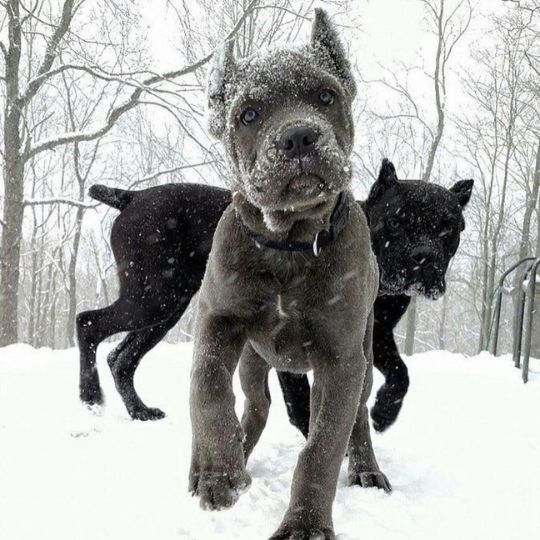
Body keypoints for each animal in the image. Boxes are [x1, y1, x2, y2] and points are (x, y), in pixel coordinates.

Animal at [78, 159, 470, 430]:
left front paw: (385, 411)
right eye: (397, 220)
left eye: (449, 228)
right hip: (150, 299)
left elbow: (401, 372)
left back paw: (139, 411)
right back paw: (90, 394)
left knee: (121, 358)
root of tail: (131, 197)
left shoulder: (376, 333)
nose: (424, 256)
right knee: (88, 323)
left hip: (164, 309)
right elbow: (300, 400)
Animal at [188, 9, 386, 540]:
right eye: (248, 115)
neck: (290, 244)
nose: (299, 135)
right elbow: (206, 387)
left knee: (356, 418)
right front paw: (219, 472)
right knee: (251, 408)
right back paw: (225, 464)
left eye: (326, 96)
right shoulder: (218, 321)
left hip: (363, 359)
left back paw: (367, 470)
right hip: (253, 364)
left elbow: (322, 448)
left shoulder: (341, 360)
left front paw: (306, 524)